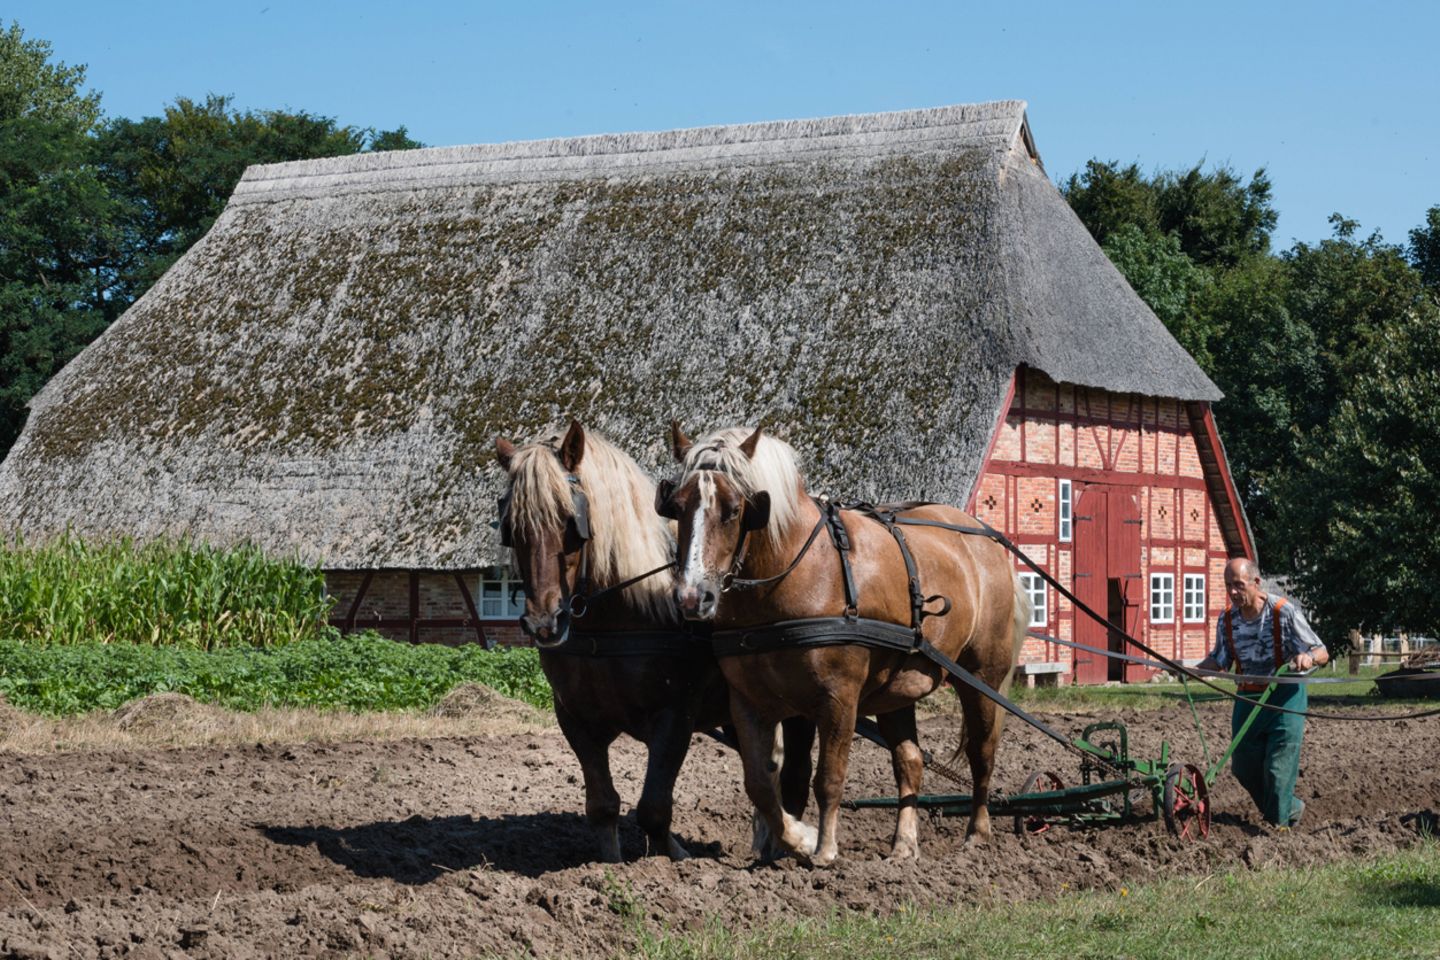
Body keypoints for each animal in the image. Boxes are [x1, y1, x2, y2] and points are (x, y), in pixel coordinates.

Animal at [492, 423, 812, 863]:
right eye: (512, 526)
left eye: (570, 520)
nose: (544, 623)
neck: (618, 618)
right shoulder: (574, 718)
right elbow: (603, 806)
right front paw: (608, 864)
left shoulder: (676, 716)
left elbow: (653, 809)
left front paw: (678, 859)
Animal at [659, 423, 1031, 869]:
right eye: (677, 507)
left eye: (734, 510)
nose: (692, 598)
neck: (794, 572)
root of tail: (986, 541)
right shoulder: (754, 702)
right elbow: (766, 783)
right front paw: (789, 842)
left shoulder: (839, 697)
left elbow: (828, 778)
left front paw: (823, 850)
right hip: (897, 689)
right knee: (910, 762)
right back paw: (903, 846)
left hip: (981, 678)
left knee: (982, 754)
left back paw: (977, 835)